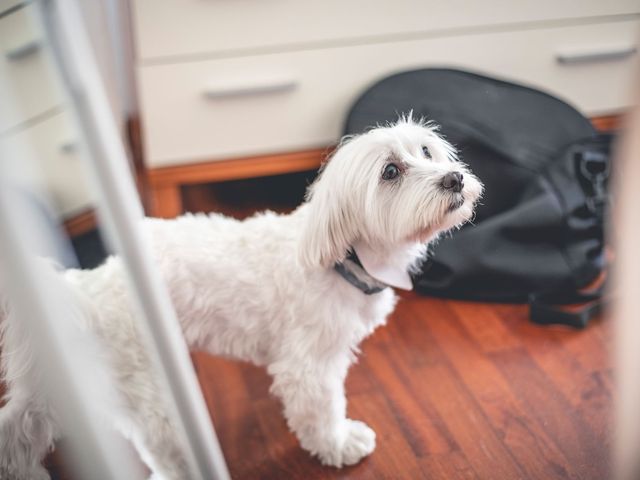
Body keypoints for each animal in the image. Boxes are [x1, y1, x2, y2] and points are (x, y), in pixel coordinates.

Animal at [0, 117, 480, 480]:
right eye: (390, 172)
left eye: (427, 152)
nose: (454, 177)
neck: (345, 257)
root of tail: (85, 292)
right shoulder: (307, 368)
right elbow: (321, 412)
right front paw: (340, 443)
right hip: (151, 394)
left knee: (20, 429)